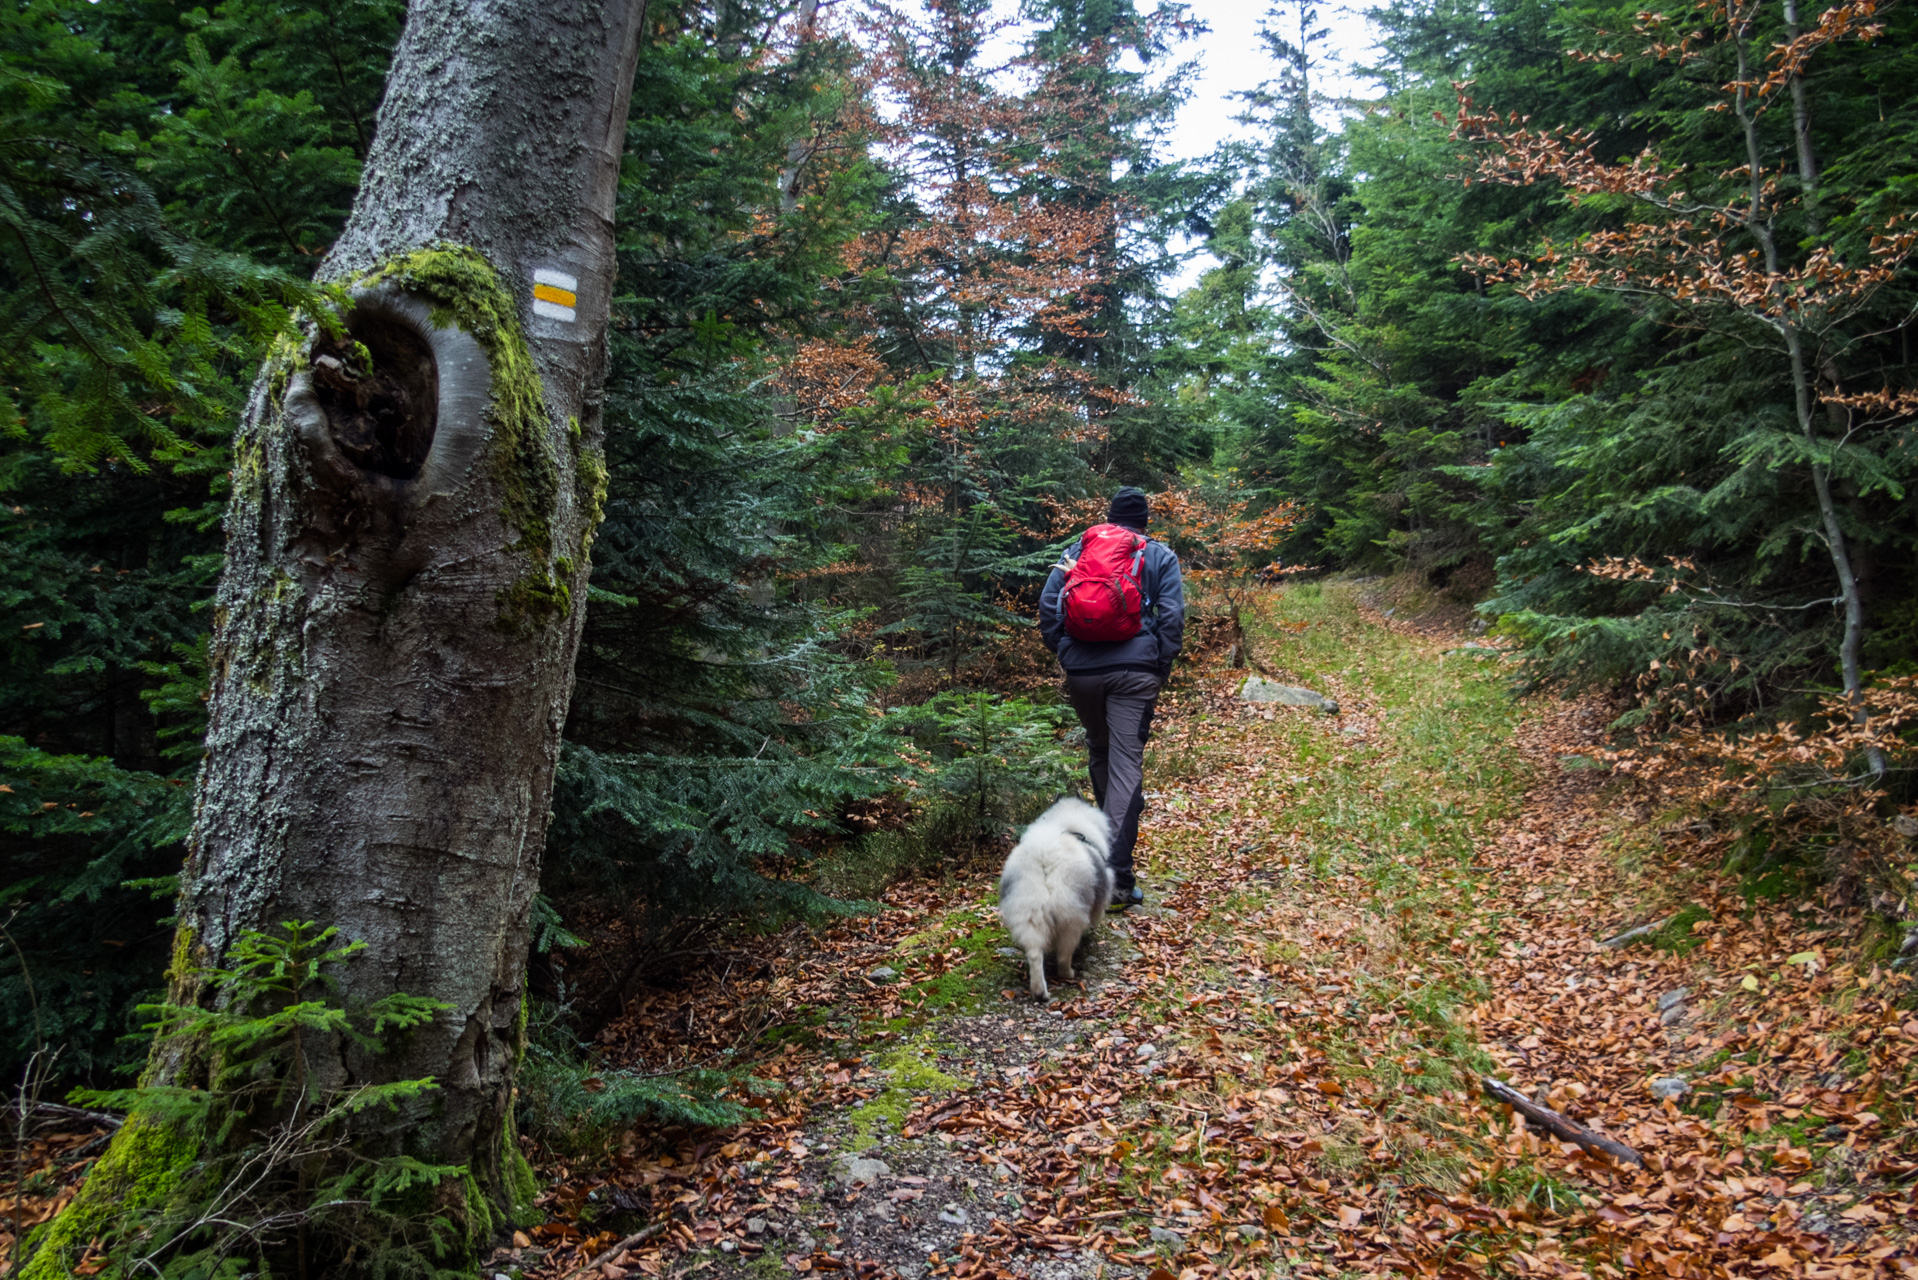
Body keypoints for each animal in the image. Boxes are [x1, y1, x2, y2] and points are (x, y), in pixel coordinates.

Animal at [997, 802, 1120, 997]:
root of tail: (1045, 856)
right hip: (1070, 917)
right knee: (1063, 955)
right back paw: (1068, 974)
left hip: (1029, 911)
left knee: (1034, 954)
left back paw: (1039, 991)